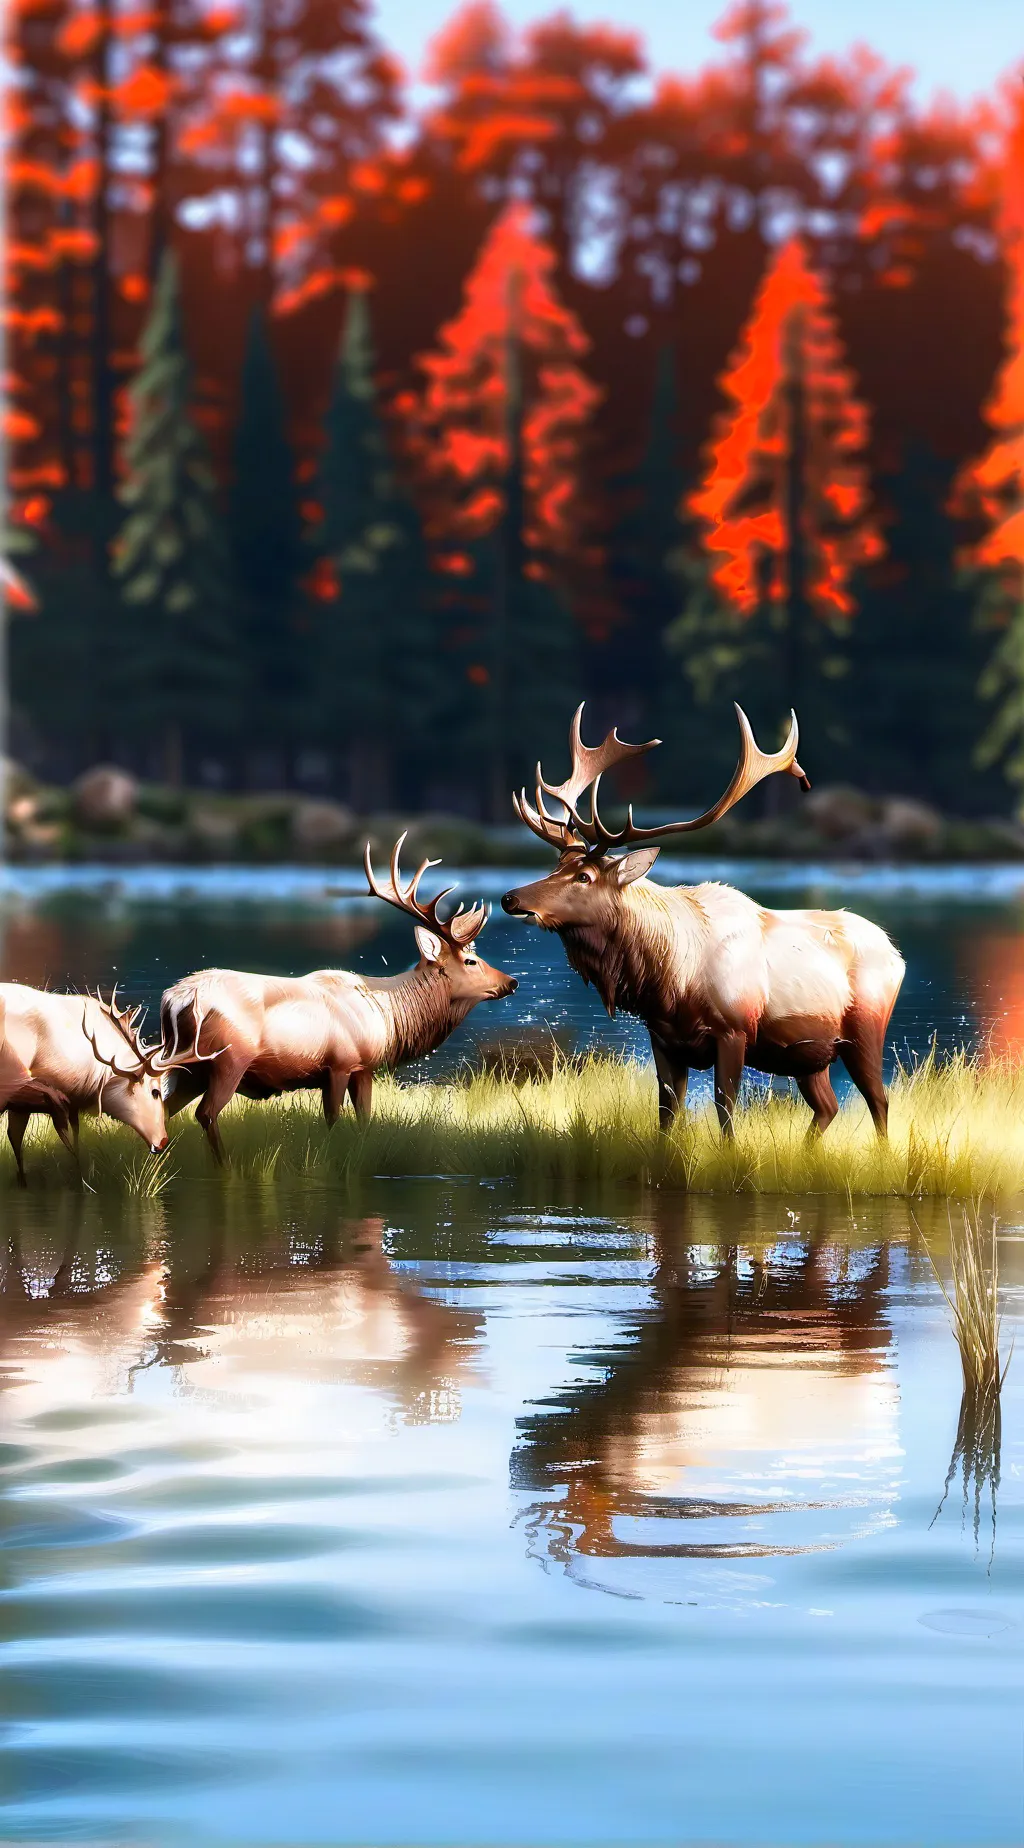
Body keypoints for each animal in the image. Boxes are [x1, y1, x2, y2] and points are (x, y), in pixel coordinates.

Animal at [158, 835, 518, 1164]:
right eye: (470, 961)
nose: (511, 982)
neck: (388, 1018)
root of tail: (175, 999)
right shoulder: (346, 1062)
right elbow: (339, 1119)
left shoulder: (355, 1069)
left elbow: (360, 1119)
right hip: (228, 1059)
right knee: (205, 1112)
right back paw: (225, 1165)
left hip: (188, 1067)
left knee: (162, 1106)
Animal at [501, 705, 905, 1138]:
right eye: (557, 865)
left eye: (584, 876)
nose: (511, 898)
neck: (670, 979)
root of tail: (896, 953)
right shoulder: (663, 1037)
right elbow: (666, 1112)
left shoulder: (734, 1031)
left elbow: (725, 1109)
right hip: (808, 1055)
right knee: (827, 1106)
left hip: (865, 1028)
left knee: (878, 1100)